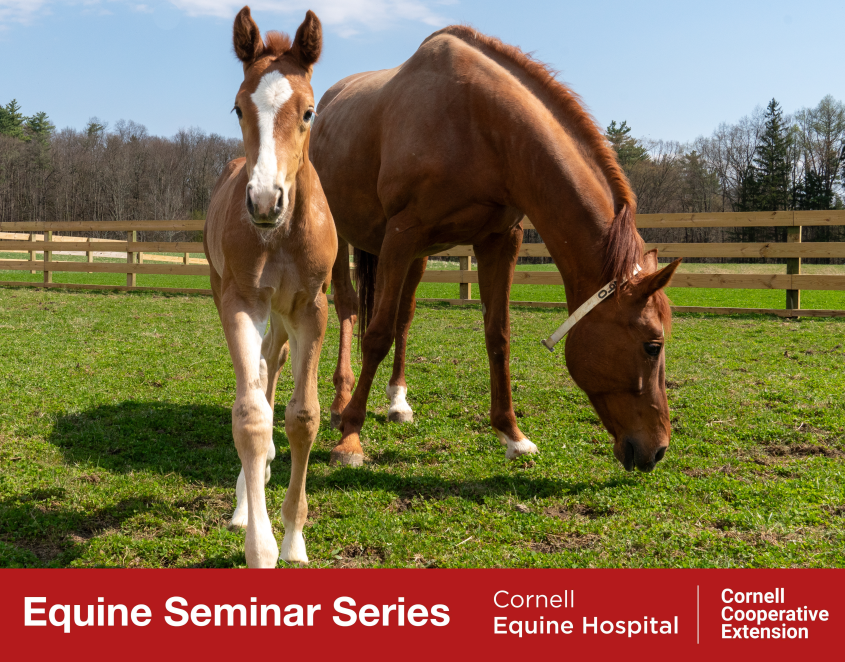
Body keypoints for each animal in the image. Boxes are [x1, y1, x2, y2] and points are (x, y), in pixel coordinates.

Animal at [310, 26, 680, 473]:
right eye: (652, 345)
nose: (657, 449)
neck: (477, 124)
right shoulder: (402, 231)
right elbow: (376, 335)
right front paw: (350, 439)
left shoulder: (498, 240)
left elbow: (497, 334)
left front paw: (513, 435)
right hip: (350, 239)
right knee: (348, 307)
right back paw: (339, 404)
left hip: (416, 254)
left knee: (404, 317)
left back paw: (398, 401)